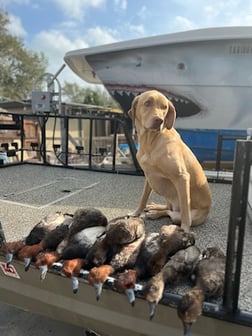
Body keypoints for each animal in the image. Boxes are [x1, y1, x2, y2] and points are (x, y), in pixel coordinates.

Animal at [129, 89, 212, 231]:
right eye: (147, 103)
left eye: (164, 107)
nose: (159, 120)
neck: (150, 142)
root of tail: (208, 210)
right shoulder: (148, 176)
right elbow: (143, 198)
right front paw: (136, 213)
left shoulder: (182, 178)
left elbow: (185, 210)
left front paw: (185, 229)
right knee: (168, 208)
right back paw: (156, 209)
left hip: (180, 211)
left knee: (173, 213)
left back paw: (156, 213)